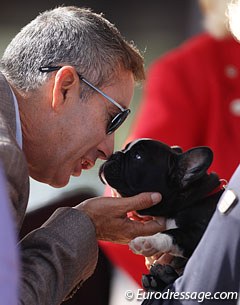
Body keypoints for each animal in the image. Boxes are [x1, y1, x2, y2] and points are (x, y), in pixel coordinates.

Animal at [98, 138, 225, 290]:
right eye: (124, 149)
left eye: (138, 156)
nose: (114, 154)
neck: (192, 198)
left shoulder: (203, 233)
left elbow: (174, 233)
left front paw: (147, 241)